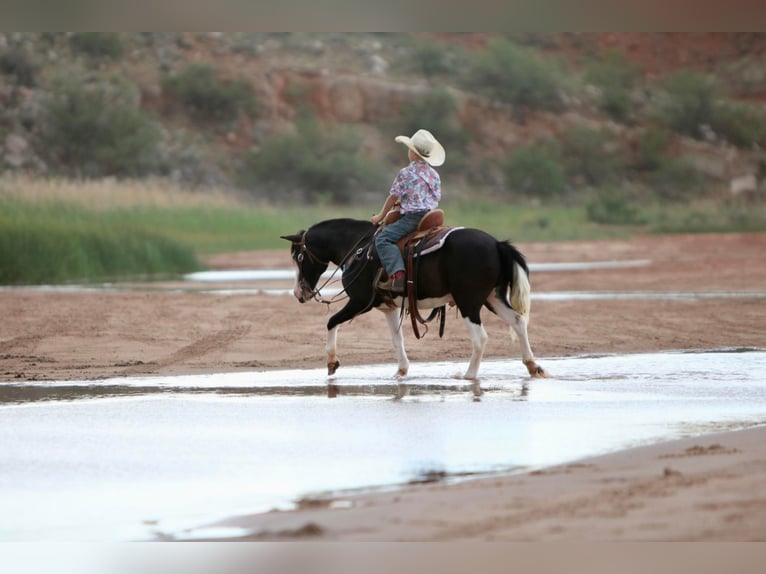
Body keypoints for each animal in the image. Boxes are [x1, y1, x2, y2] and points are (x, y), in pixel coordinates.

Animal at [280, 219, 544, 382]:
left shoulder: (359, 301)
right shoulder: (388, 307)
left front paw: (332, 362)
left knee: (481, 338)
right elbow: (397, 339)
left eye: (299, 257)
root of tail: (497, 244)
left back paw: (468, 375)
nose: (299, 293)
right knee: (518, 321)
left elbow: (331, 322)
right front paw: (401, 371)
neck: (359, 250)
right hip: (493, 297)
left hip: (469, 302)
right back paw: (533, 366)